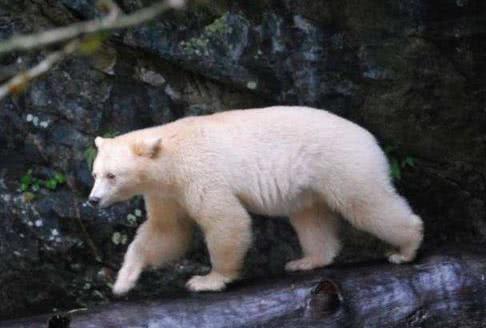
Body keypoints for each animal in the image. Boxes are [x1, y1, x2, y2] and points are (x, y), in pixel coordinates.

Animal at [89, 105, 424, 294]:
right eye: (95, 173)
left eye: (112, 176)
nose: (92, 201)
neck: (170, 155)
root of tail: (370, 138)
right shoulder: (166, 192)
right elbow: (166, 231)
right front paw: (123, 281)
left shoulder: (200, 174)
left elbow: (226, 219)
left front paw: (207, 280)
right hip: (310, 183)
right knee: (311, 216)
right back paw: (306, 260)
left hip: (342, 163)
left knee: (366, 203)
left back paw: (406, 248)